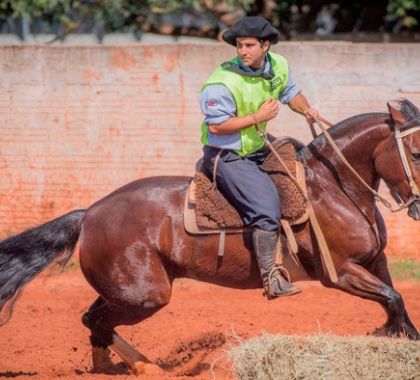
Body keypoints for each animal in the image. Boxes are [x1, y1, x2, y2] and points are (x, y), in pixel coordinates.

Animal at [0, 99, 418, 376]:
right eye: (414, 151)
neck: (332, 186)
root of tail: (89, 213)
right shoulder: (341, 272)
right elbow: (393, 300)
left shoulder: (375, 262)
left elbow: (397, 304)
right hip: (146, 295)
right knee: (97, 321)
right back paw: (147, 368)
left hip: (126, 290)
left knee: (94, 319)